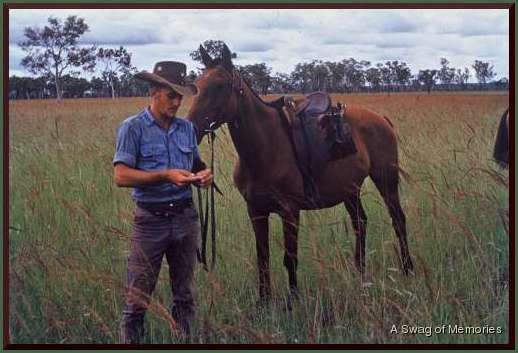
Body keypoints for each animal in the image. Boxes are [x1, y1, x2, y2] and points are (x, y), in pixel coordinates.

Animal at [187, 44, 414, 302]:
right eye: (197, 85)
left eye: (220, 86)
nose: (191, 127)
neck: (265, 148)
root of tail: (381, 119)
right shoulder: (256, 211)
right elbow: (263, 258)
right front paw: (264, 302)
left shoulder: (290, 212)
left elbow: (290, 258)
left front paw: (292, 301)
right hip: (350, 190)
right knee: (360, 223)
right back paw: (360, 271)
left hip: (386, 180)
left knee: (398, 220)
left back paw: (407, 268)